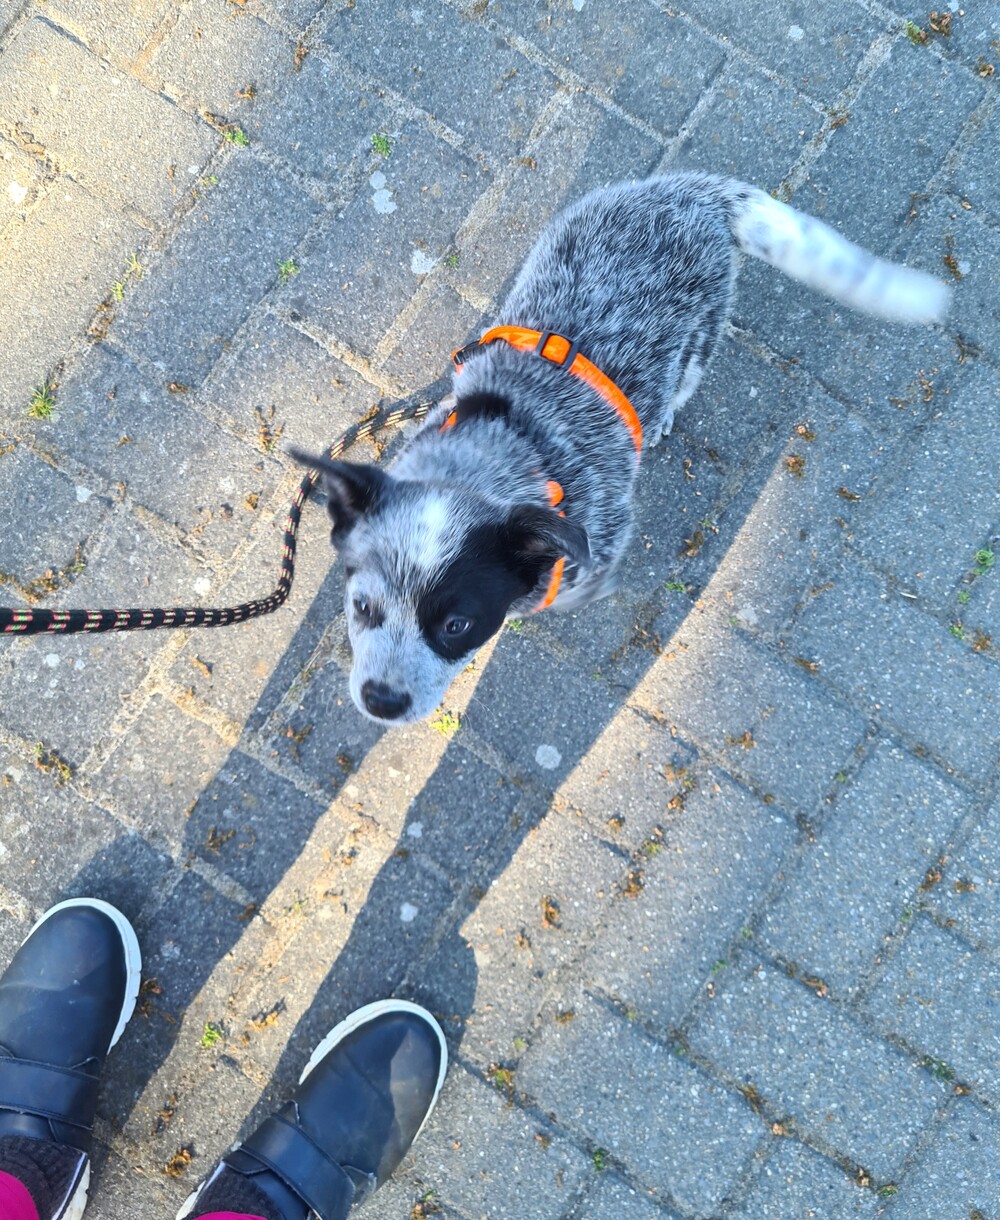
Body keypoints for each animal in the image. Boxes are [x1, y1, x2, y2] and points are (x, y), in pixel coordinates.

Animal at [294, 172, 949, 724]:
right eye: (362, 607)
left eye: (458, 624)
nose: (381, 701)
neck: (510, 452)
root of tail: (692, 193)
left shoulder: (600, 539)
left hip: (703, 330)